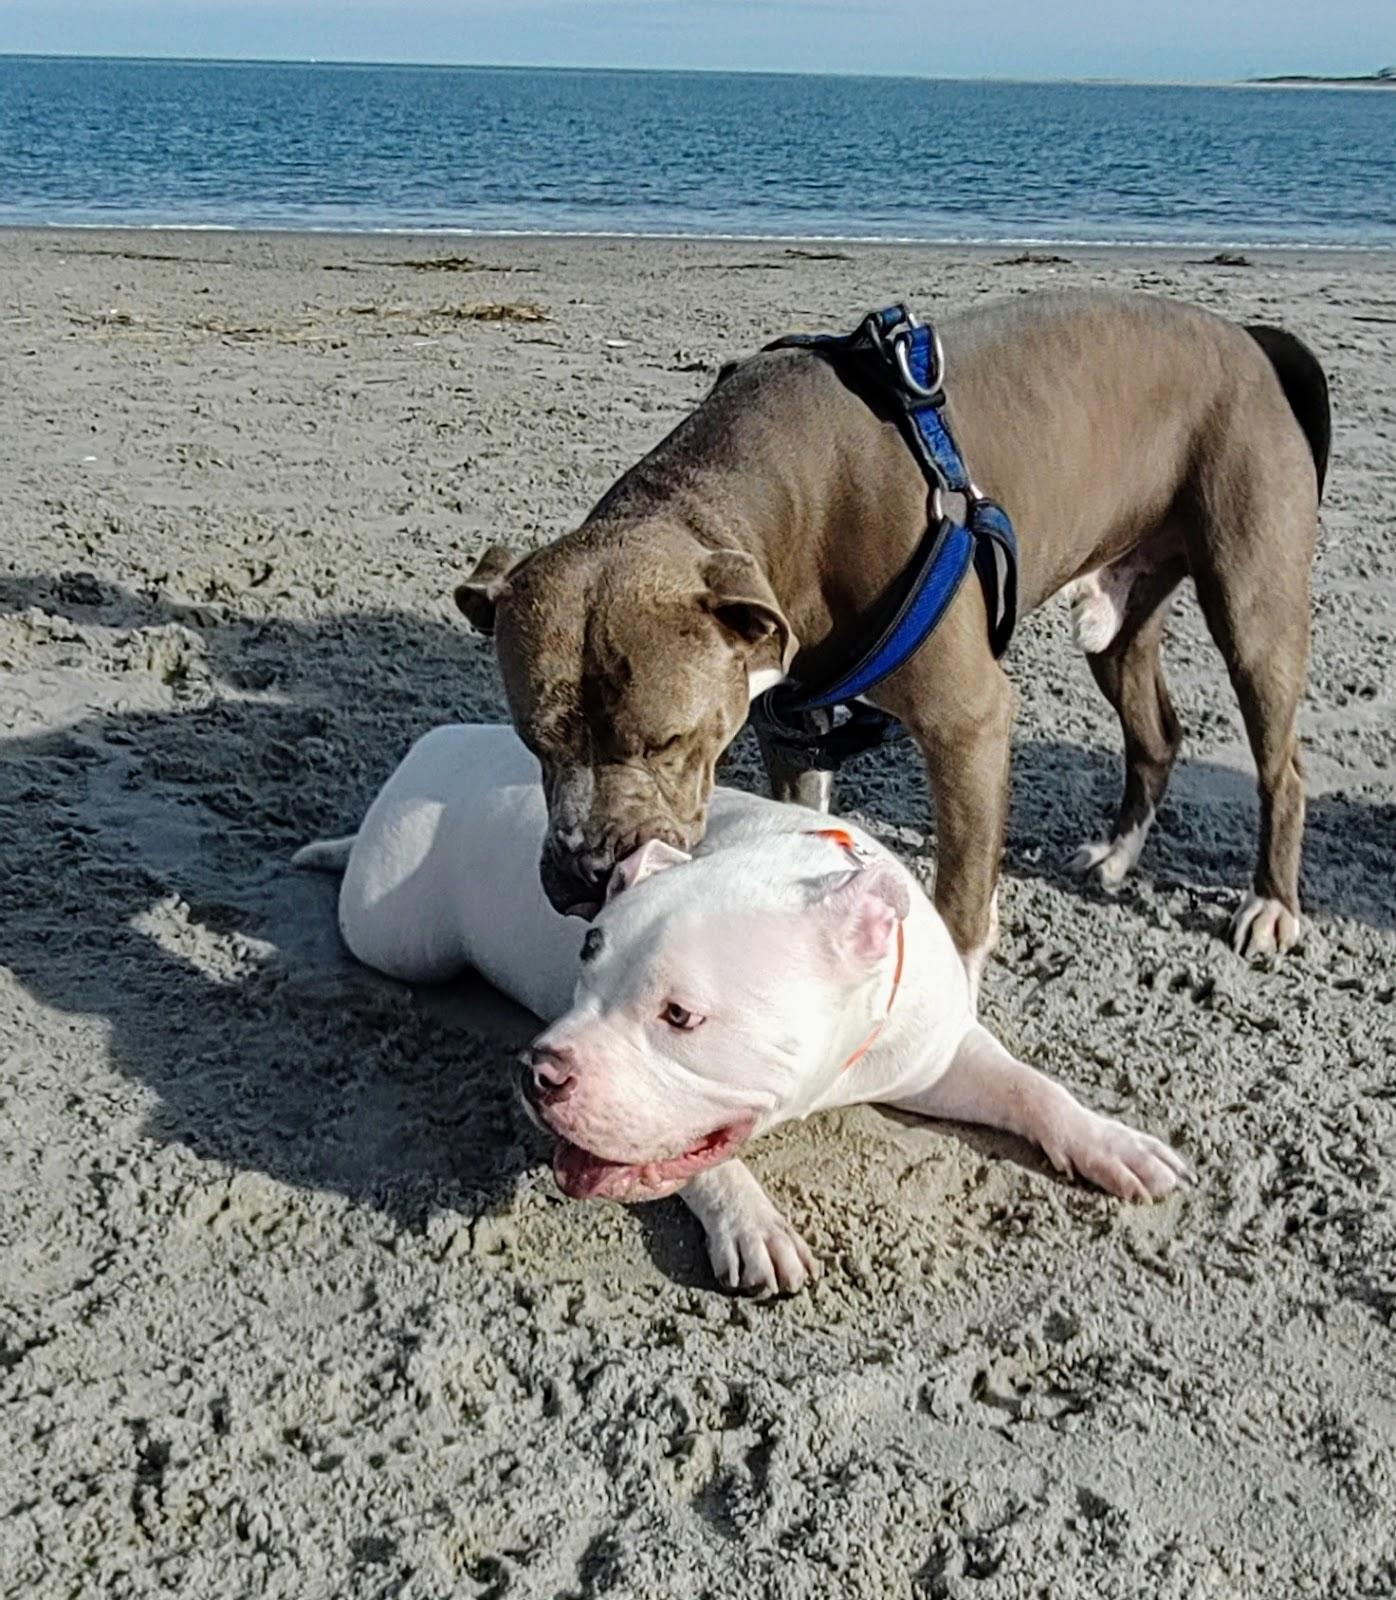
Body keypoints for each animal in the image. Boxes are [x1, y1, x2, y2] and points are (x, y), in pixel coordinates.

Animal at [297, 732, 1191, 1292]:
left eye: (680, 1017)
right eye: (585, 971)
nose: (537, 1072)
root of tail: (440, 737)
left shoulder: (935, 1053)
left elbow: (1030, 1087)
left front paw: (1114, 1143)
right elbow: (701, 1157)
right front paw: (753, 1222)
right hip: (397, 934)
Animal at [457, 292, 1331, 979]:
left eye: (668, 742)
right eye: (534, 743)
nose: (586, 869)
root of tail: (1251, 339)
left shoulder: (967, 724)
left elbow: (961, 905)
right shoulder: (791, 729)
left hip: (1254, 604)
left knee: (1282, 767)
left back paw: (1271, 906)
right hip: (1119, 619)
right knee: (1156, 733)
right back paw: (1116, 854)